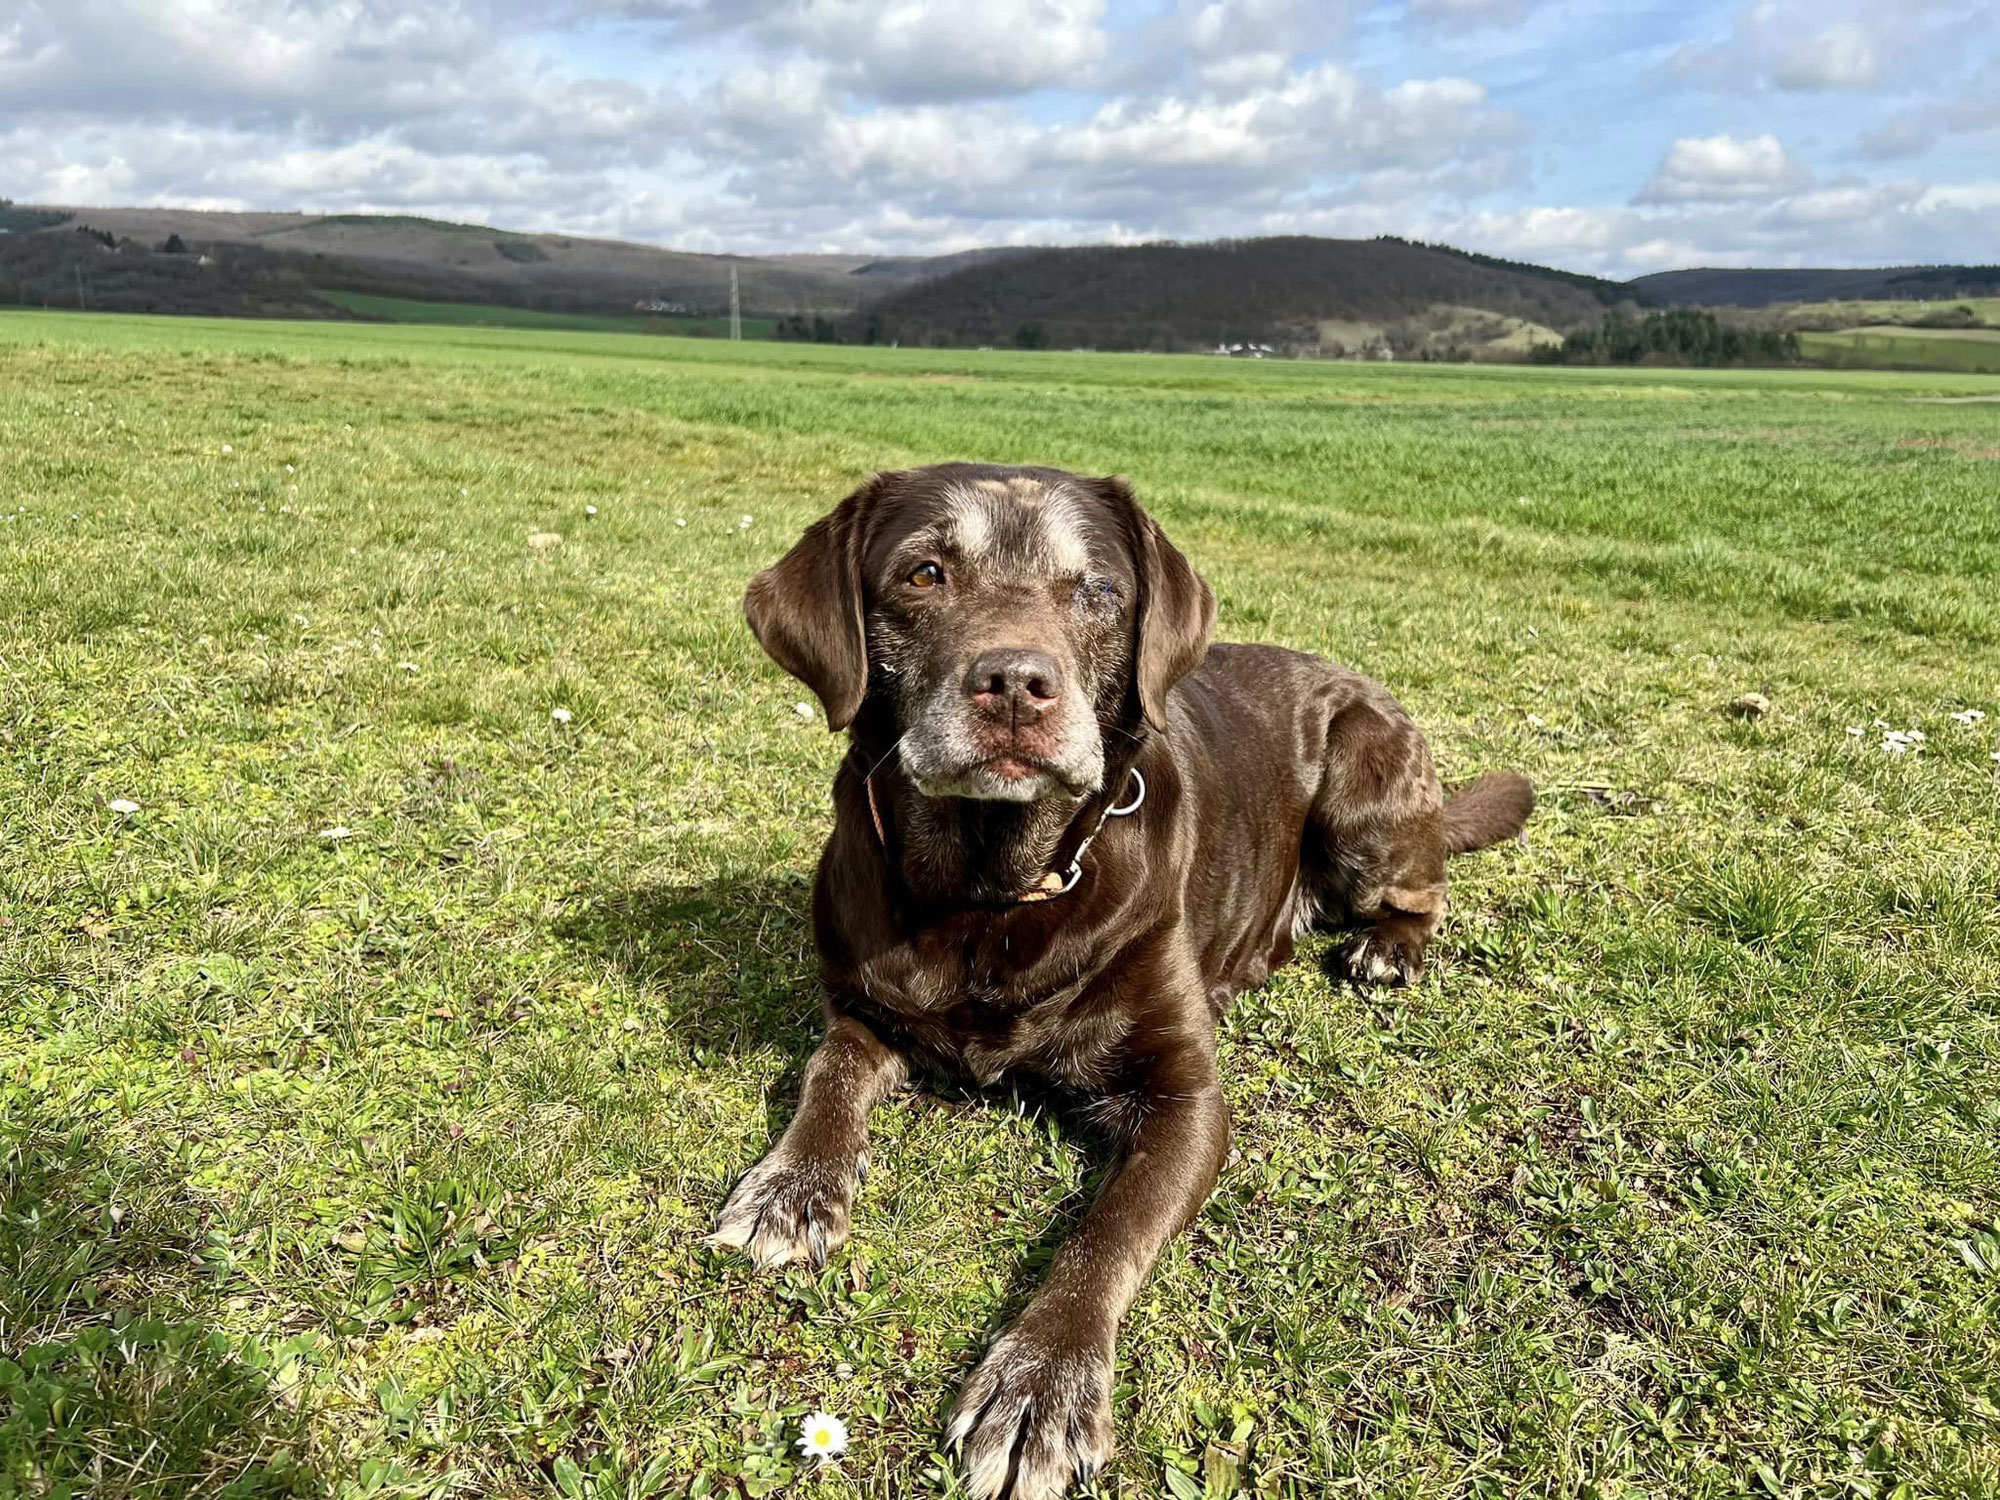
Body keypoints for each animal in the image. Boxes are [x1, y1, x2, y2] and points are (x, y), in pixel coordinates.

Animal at [720, 464, 1528, 1496]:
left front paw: (1041, 1382)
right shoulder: (866, 1009)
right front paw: (792, 1189)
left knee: (1425, 888)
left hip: (1365, 798)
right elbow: (829, 1076)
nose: (1016, 683)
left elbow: (1104, 1237)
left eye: (1098, 591)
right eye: (924, 573)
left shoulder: (1185, 1100)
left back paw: (1389, 945)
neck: (995, 891)